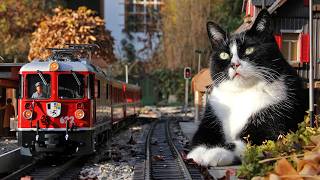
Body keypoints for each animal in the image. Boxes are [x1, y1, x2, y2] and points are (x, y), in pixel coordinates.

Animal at [186, 9, 306, 167]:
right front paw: (198, 152)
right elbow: (200, 137)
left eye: (249, 49)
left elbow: (247, 141)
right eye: (224, 54)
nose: (234, 64)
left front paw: (215, 152)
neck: (241, 93)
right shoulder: (212, 115)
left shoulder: (276, 117)